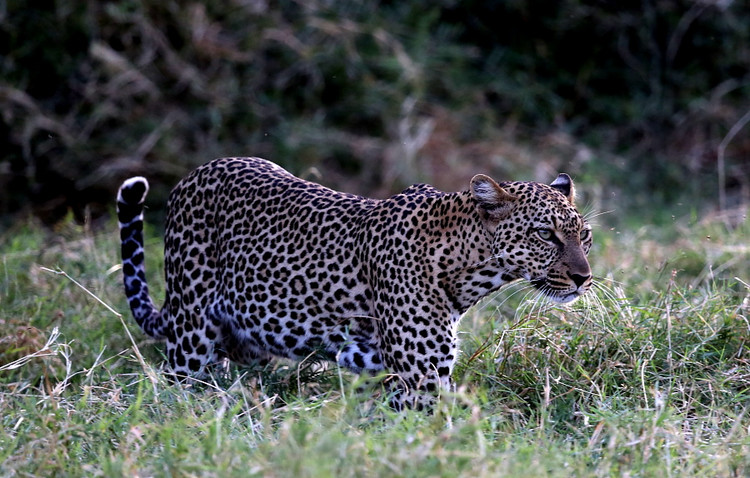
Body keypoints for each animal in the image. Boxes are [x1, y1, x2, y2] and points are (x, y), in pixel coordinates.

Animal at [116, 156, 592, 408]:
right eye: (545, 234)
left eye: (584, 235)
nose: (583, 277)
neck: (470, 269)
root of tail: (194, 174)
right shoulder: (422, 379)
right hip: (190, 339)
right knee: (179, 387)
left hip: (248, 342)